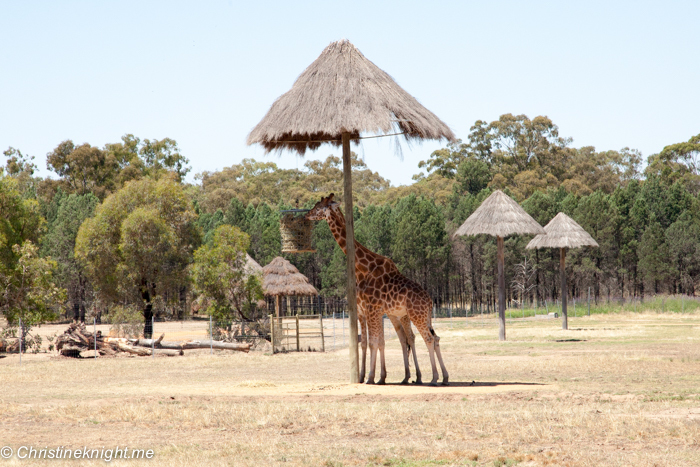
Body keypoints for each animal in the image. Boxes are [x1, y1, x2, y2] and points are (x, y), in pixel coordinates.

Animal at [304, 194, 448, 388]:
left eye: (319, 207)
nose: (307, 215)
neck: (363, 268)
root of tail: (430, 301)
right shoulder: (371, 311)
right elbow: (374, 342)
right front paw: (377, 377)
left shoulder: (371, 310)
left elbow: (373, 342)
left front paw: (371, 377)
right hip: (421, 316)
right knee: (432, 338)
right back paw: (439, 377)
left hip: (413, 315)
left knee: (426, 339)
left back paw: (432, 378)